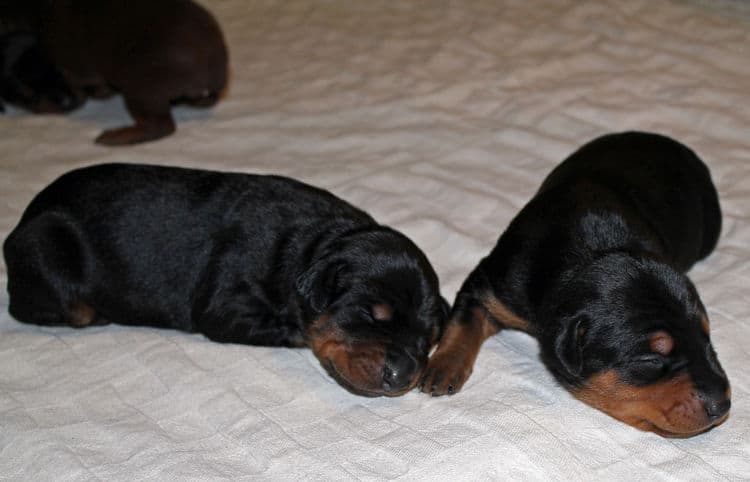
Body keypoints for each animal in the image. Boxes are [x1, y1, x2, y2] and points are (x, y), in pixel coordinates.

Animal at [2, 0, 229, 145]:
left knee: (161, 126)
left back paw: (116, 136)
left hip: (140, 87)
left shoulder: (70, 69)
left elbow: (77, 93)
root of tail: (215, 68)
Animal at [2, 164, 450, 398]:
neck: (314, 242)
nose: (404, 374)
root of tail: (24, 219)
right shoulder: (224, 305)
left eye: (427, 340)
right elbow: (284, 327)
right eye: (370, 315)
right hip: (46, 246)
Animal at [424, 131, 736, 436]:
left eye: (706, 338)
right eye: (649, 360)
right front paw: (442, 367)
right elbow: (464, 320)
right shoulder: (493, 286)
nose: (722, 405)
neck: (589, 254)